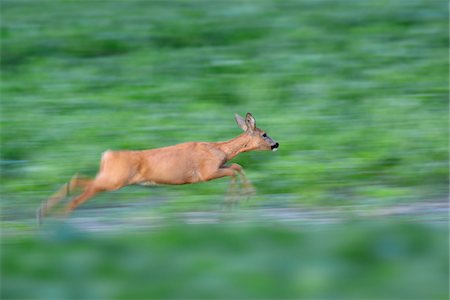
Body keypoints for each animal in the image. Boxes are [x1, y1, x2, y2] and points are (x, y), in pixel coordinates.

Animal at [37, 112, 278, 223]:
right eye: (264, 134)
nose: (276, 144)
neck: (219, 150)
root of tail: (107, 155)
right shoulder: (205, 172)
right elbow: (235, 169)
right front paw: (236, 200)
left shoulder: (218, 166)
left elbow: (236, 165)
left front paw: (243, 197)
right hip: (114, 180)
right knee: (81, 192)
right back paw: (57, 218)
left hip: (111, 177)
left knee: (77, 179)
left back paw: (43, 213)